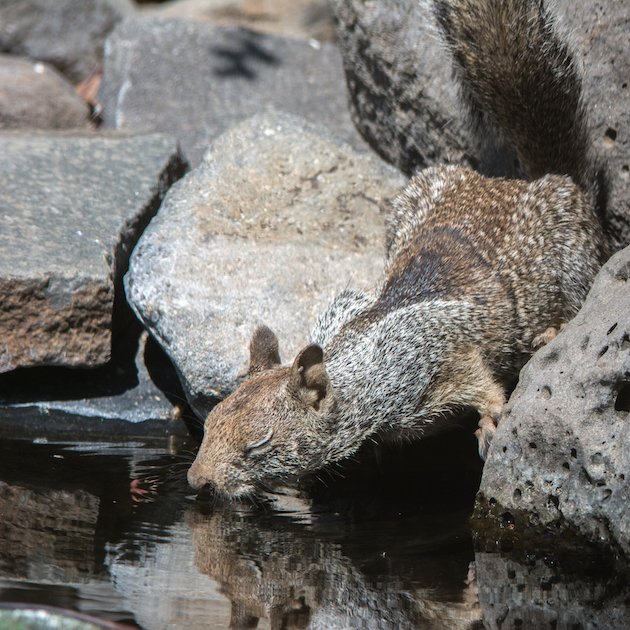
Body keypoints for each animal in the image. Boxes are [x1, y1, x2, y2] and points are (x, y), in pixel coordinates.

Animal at [190, 0, 608, 498]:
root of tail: (527, 180)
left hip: (572, 250)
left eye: (259, 444)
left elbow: (481, 382)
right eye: (209, 421)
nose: (196, 480)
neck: (361, 370)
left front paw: (490, 420)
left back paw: (552, 330)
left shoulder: (443, 351)